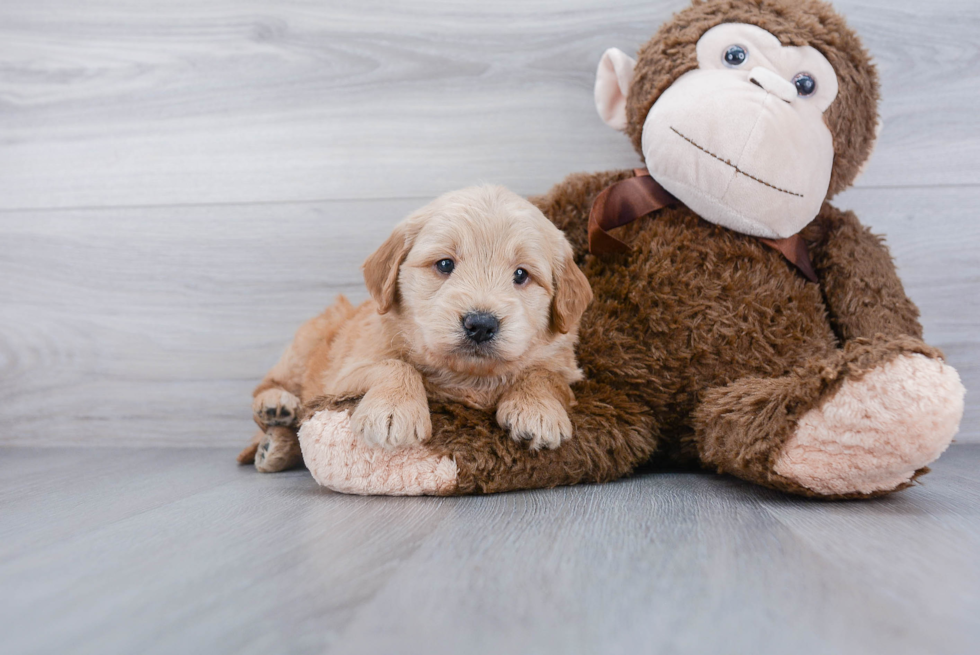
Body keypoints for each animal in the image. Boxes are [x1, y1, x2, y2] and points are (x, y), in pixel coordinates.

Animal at [239, 184, 588, 472]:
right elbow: (393, 365)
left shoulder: (567, 370)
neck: (467, 378)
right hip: (306, 343)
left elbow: (545, 375)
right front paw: (393, 409)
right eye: (445, 264)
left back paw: (276, 446)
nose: (480, 324)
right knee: (269, 386)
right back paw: (275, 409)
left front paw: (538, 409)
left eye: (521, 274)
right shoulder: (341, 378)